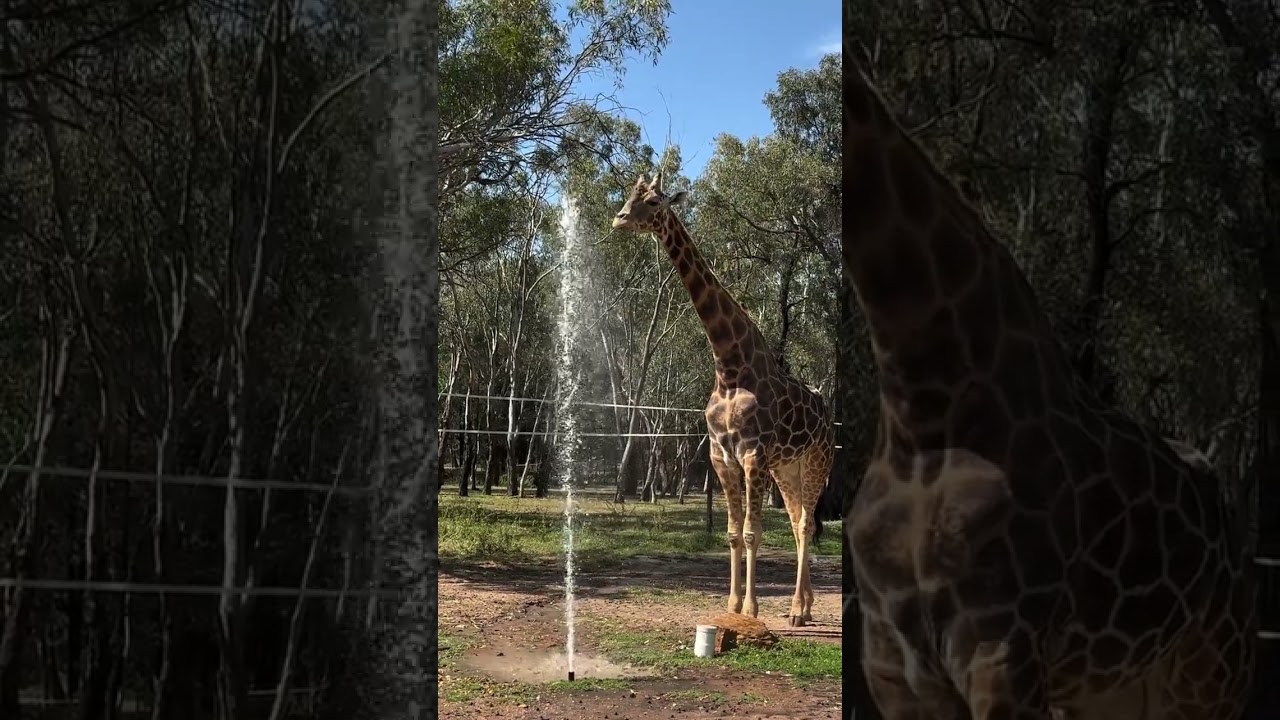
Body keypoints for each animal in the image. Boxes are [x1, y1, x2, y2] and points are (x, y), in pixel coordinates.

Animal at [611, 170, 834, 627]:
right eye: (629, 197)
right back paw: (803, 606)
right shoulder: (721, 455)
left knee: (805, 523)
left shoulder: (752, 454)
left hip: (817, 461)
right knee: (796, 519)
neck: (729, 366)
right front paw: (731, 605)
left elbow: (751, 532)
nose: (618, 219)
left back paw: (796, 609)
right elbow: (732, 533)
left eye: (655, 201)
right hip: (787, 468)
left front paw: (750, 609)